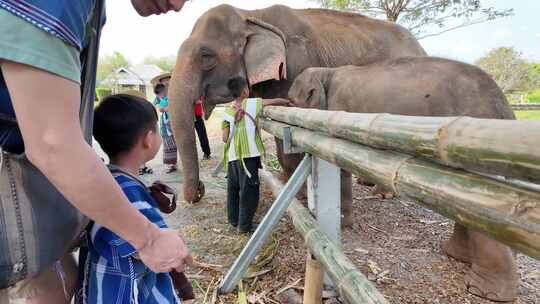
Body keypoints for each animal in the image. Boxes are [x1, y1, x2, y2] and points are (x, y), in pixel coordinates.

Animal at [169, 5, 426, 216]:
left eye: (206, 57)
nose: (199, 191)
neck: (251, 15)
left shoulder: (295, 65)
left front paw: (299, 196)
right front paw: (286, 184)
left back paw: (381, 194)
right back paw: (366, 183)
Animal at [286, 58, 520, 302]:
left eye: (291, 101)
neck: (327, 73)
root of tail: (504, 107)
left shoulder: (340, 109)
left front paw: (343, 223)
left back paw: (483, 291)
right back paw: (455, 254)